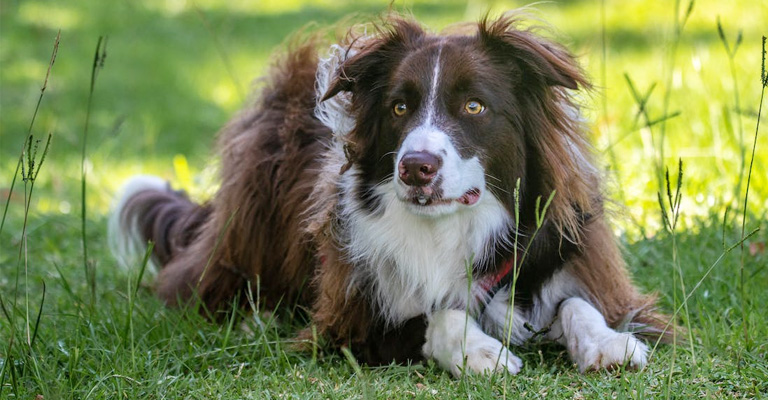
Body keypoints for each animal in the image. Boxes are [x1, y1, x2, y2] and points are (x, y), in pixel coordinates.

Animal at [109, 11, 672, 376]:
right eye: (399, 108)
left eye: (473, 106)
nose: (415, 168)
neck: (456, 228)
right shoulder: (347, 323)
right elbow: (434, 313)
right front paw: (480, 351)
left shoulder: (563, 251)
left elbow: (577, 301)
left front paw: (609, 343)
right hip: (249, 213)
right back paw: (253, 317)